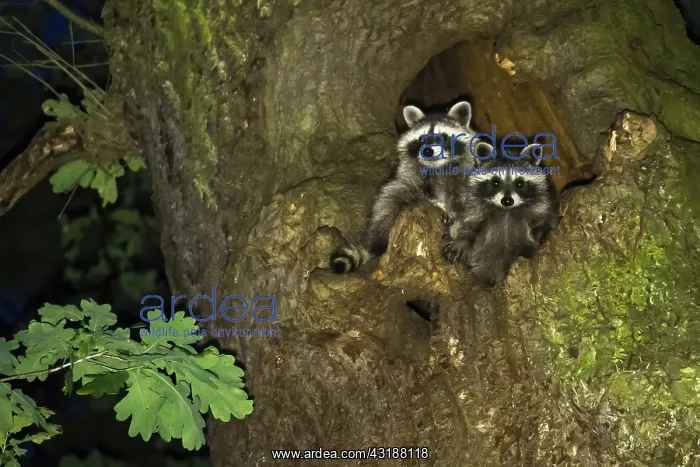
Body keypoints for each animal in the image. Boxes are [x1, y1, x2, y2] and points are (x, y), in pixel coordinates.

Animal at [331, 100, 491, 274]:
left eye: (442, 137)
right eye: (421, 139)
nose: (427, 151)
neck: (437, 167)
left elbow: (474, 206)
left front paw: (463, 236)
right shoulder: (410, 175)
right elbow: (413, 190)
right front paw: (437, 203)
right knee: (387, 201)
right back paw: (376, 244)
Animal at [442, 142, 561, 286]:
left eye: (519, 183)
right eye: (496, 182)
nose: (507, 201)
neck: (506, 211)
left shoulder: (541, 206)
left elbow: (546, 219)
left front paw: (542, 233)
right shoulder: (475, 208)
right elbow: (469, 223)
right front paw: (461, 240)